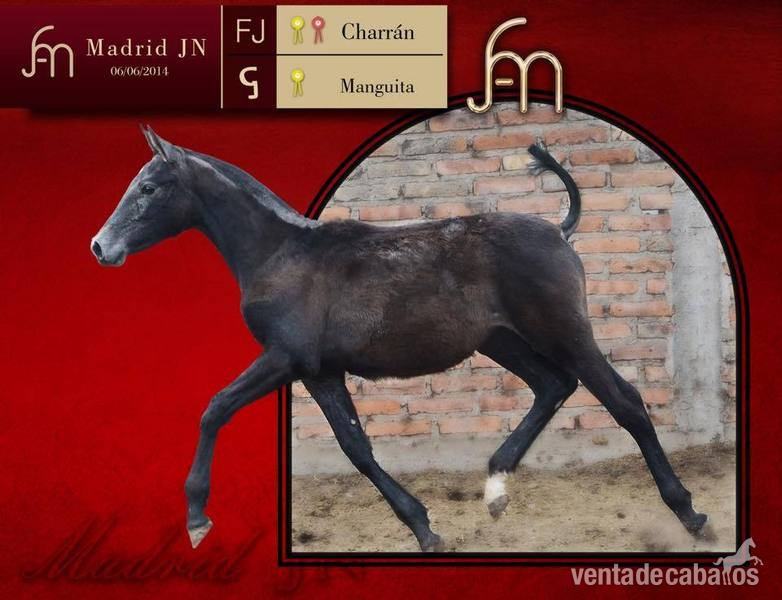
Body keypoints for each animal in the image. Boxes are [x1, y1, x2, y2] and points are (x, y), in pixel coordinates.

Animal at [90, 125, 709, 551]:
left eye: (149, 187)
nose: (101, 246)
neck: (280, 255)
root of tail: (559, 229)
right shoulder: (319, 371)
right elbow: (356, 447)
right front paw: (424, 527)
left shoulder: (285, 358)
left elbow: (215, 408)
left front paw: (196, 518)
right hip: (501, 341)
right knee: (554, 386)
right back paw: (495, 488)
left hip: (562, 332)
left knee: (623, 400)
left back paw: (690, 514)